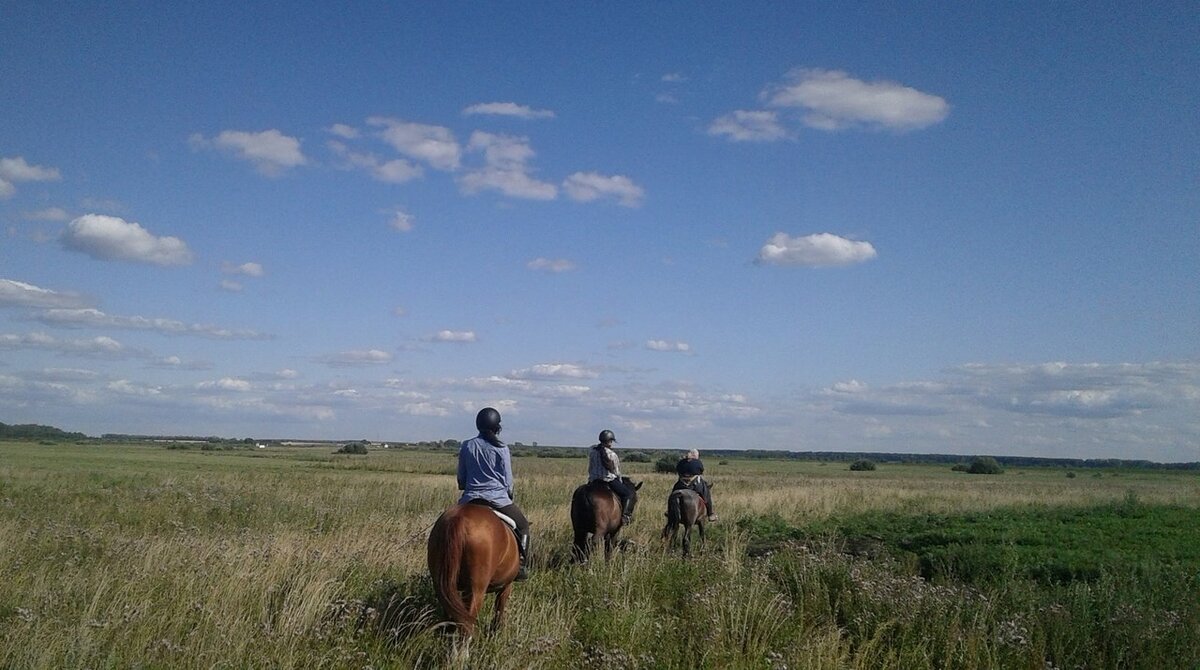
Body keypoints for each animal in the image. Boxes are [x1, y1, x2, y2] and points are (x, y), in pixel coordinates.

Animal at [427, 506, 520, 638]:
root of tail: (459, 517)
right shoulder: (506, 586)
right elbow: (499, 610)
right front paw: (495, 633)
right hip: (476, 591)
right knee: (466, 626)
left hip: (444, 586)